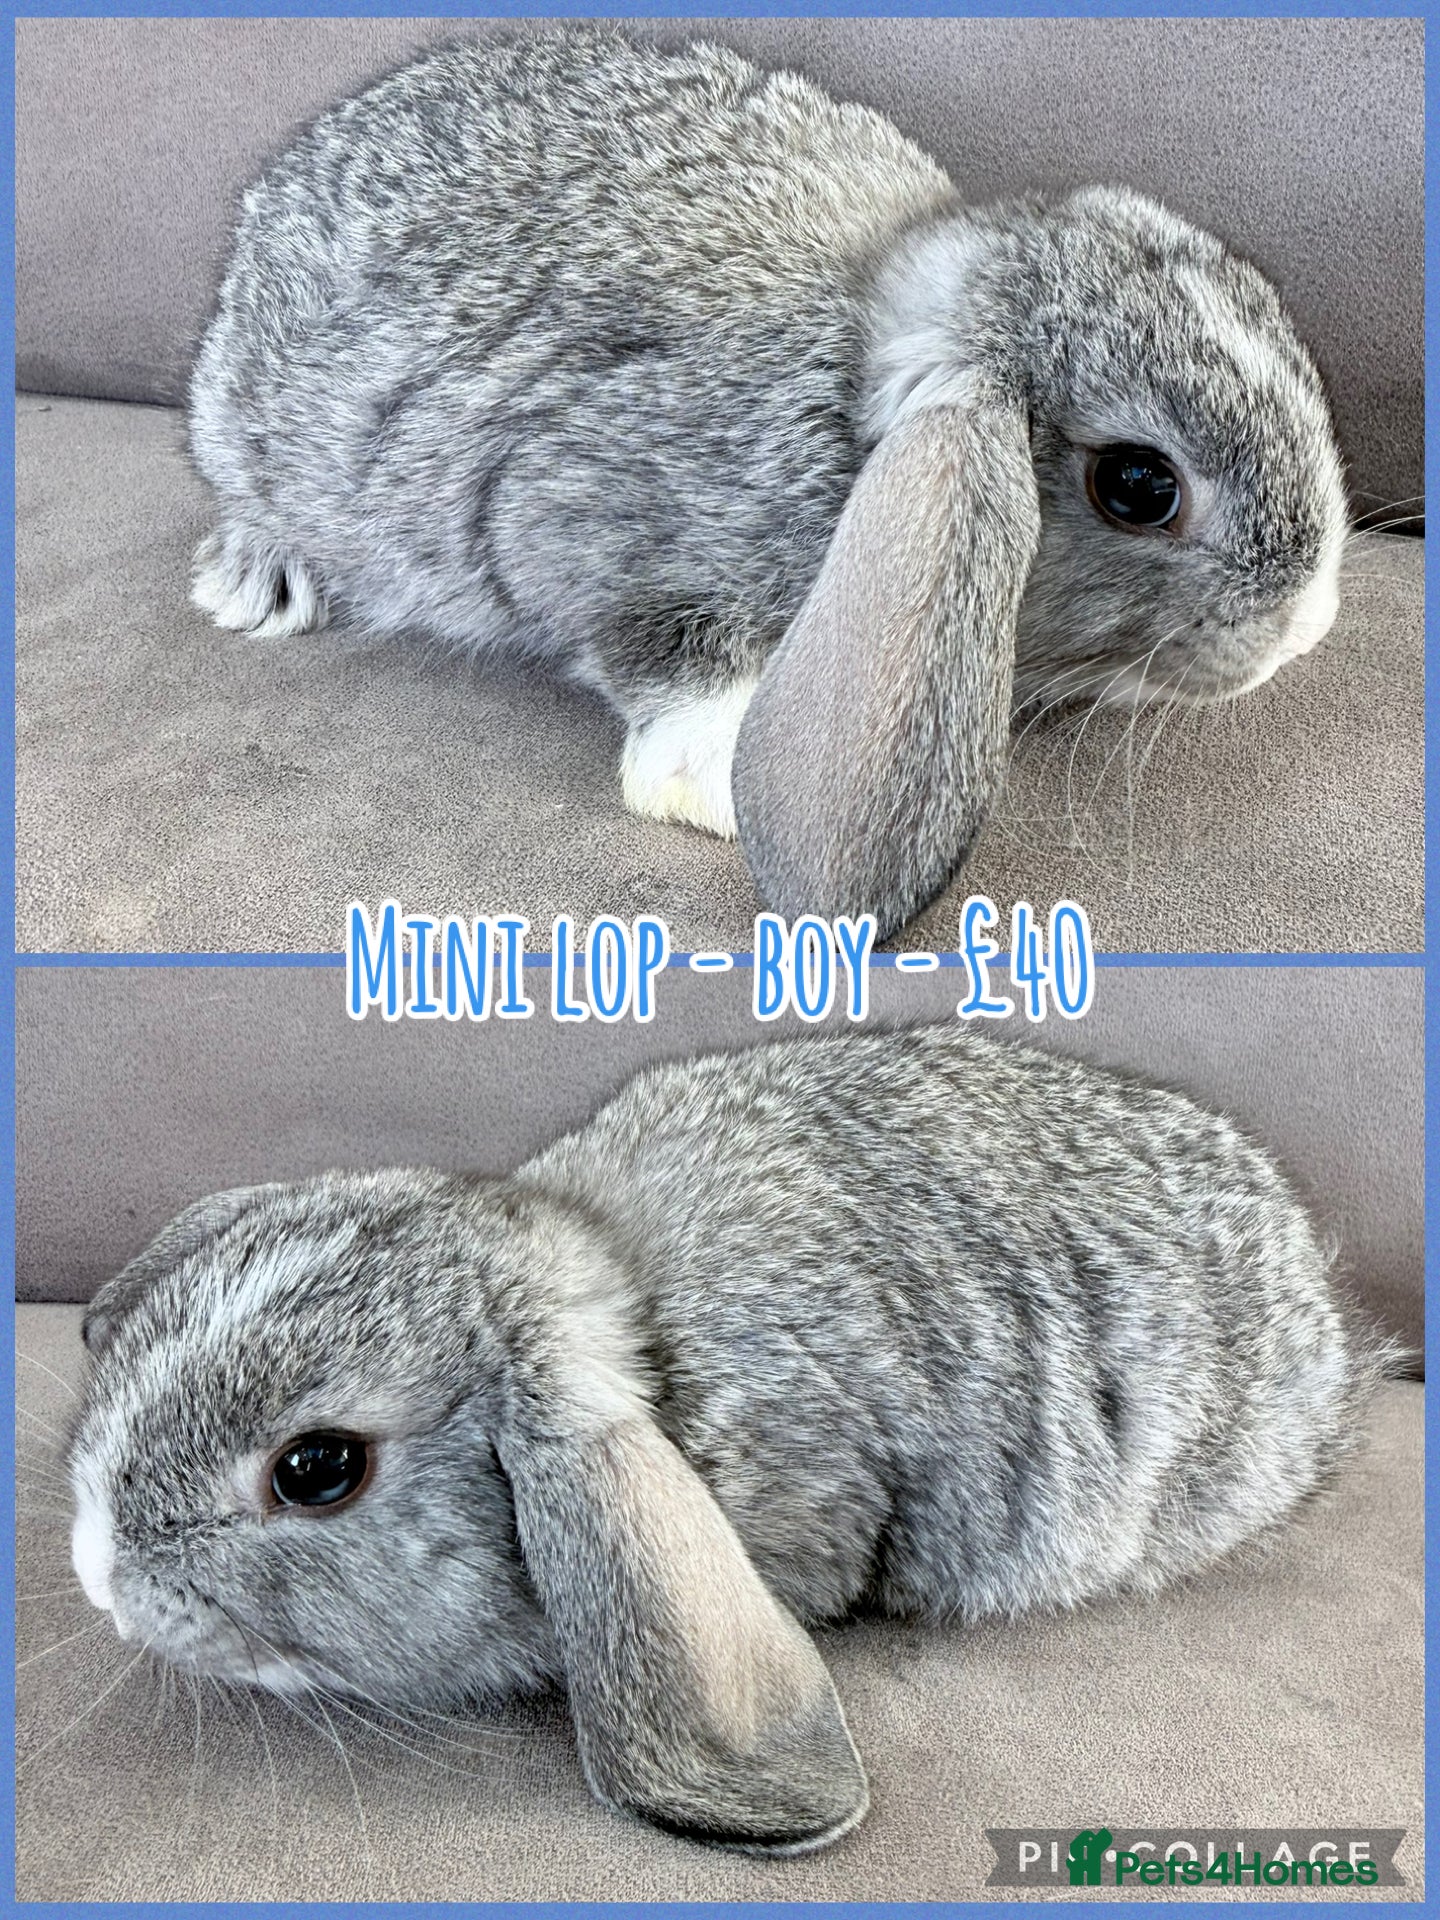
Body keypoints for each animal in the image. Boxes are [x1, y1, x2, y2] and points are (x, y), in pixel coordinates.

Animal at [187, 29, 1350, 937]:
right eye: (1140, 485)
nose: (1306, 628)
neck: (852, 397)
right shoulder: (595, 528)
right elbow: (669, 666)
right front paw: (722, 787)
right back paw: (256, 578)